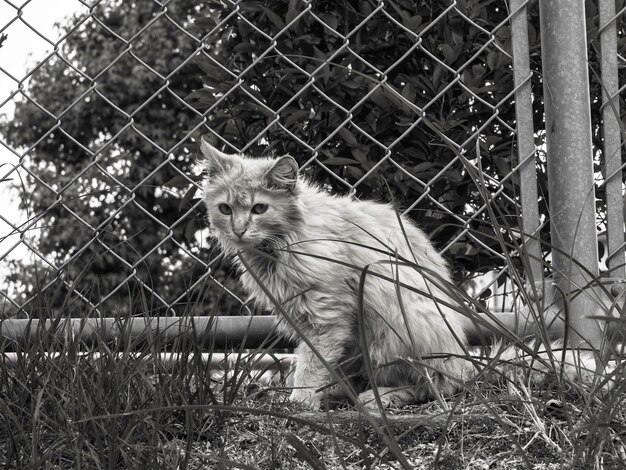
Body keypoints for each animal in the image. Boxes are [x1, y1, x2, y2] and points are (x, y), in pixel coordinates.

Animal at [197, 138, 604, 410]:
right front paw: (310, 397)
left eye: (260, 209)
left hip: (396, 326)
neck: (285, 243)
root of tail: (466, 359)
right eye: (226, 208)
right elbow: (312, 363)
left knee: (438, 386)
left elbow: (310, 365)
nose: (238, 230)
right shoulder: (305, 320)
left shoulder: (326, 318)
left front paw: (299, 403)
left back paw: (381, 398)